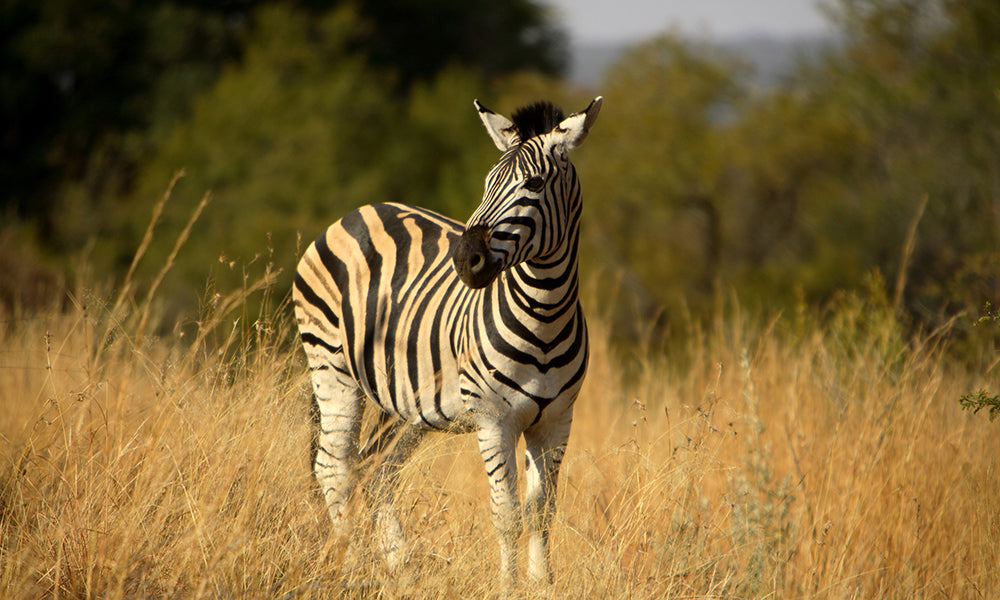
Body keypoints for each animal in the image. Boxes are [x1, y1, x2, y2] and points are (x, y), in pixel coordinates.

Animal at [292, 96, 602, 585]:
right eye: (488, 183)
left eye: (534, 183)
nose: (463, 258)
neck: (546, 313)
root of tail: (355, 212)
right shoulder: (494, 420)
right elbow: (507, 516)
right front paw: (507, 589)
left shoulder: (557, 421)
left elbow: (542, 514)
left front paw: (542, 586)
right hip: (332, 369)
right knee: (333, 467)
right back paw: (352, 568)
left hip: (404, 401)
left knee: (376, 471)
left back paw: (399, 569)